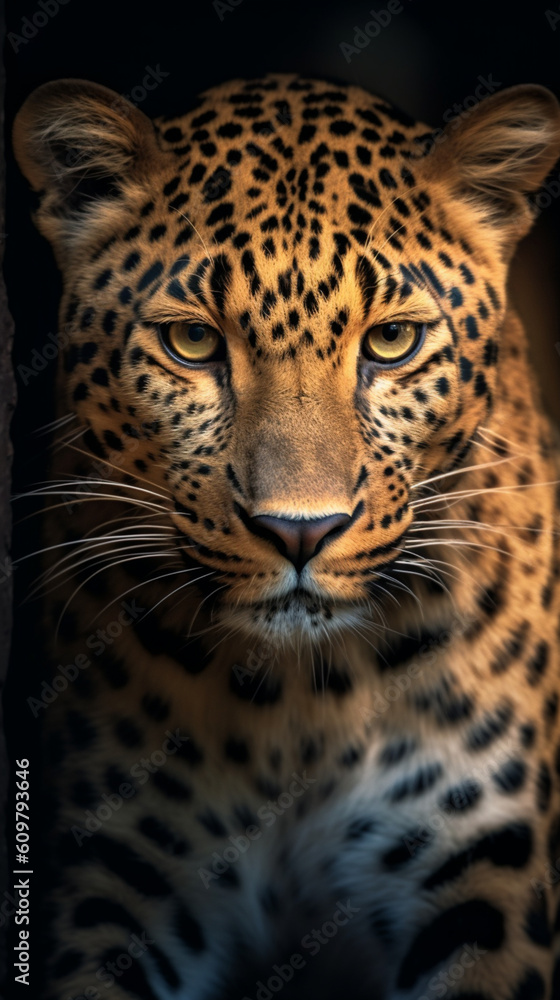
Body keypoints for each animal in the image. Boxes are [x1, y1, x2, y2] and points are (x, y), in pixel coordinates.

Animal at [11, 72, 560, 1000]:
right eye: (193, 341)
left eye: (392, 340)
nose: (299, 532)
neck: (303, 705)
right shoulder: (122, 870)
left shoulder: (484, 861)